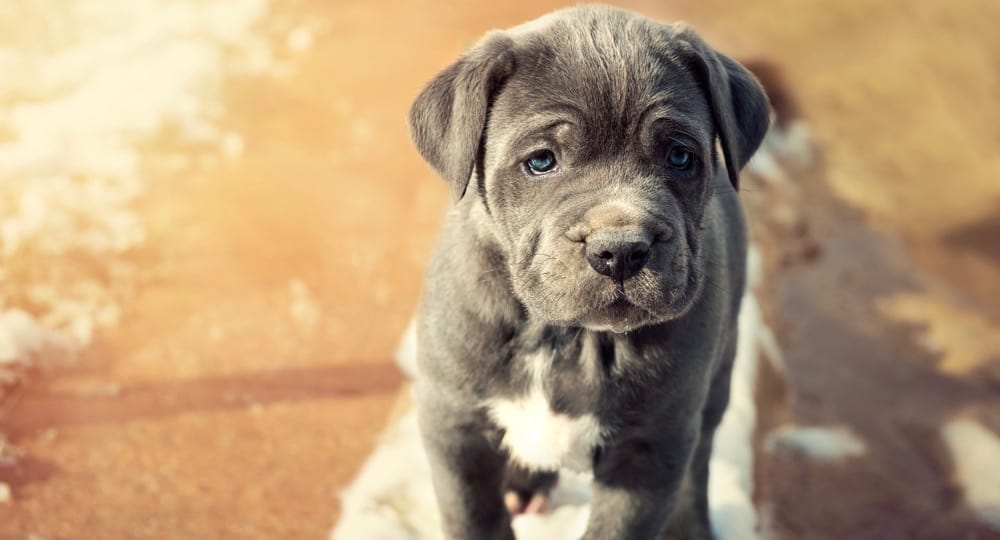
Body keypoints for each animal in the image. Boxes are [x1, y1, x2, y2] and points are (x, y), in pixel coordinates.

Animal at [406, 5, 764, 540]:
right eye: (541, 161)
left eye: (680, 156)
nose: (620, 250)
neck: (564, 337)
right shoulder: (454, 426)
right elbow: (474, 518)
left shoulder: (650, 448)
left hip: (716, 380)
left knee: (699, 464)